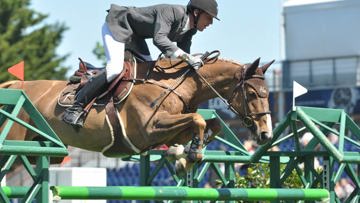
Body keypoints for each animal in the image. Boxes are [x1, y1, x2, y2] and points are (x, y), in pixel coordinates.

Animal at [0, 56, 272, 171]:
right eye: (252, 94)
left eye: (267, 93)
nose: (265, 134)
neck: (176, 85)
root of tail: (15, 86)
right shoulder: (149, 130)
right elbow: (197, 120)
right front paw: (192, 153)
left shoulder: (167, 133)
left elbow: (208, 126)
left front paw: (187, 155)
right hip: (13, 141)